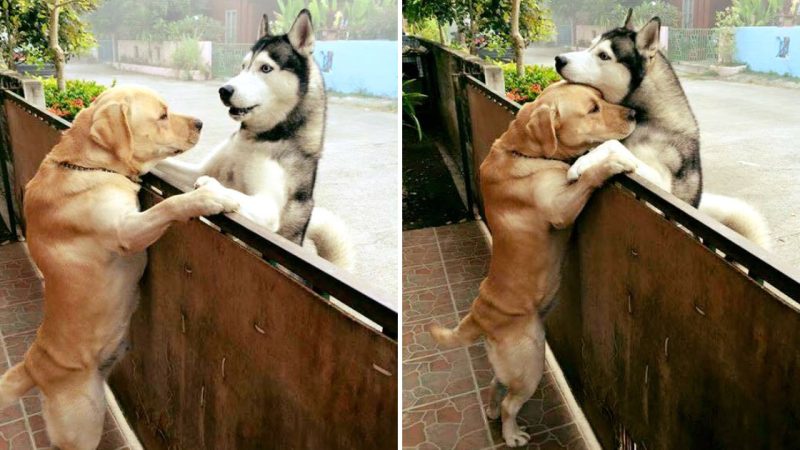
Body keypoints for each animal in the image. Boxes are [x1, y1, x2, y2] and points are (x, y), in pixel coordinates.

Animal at [432, 83, 636, 446]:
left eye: (601, 98)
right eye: (593, 109)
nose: (634, 113)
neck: (523, 152)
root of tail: (480, 315)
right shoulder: (560, 208)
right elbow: (590, 174)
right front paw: (609, 162)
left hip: (513, 366)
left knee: (495, 385)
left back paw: (491, 412)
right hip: (530, 362)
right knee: (511, 402)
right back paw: (511, 433)